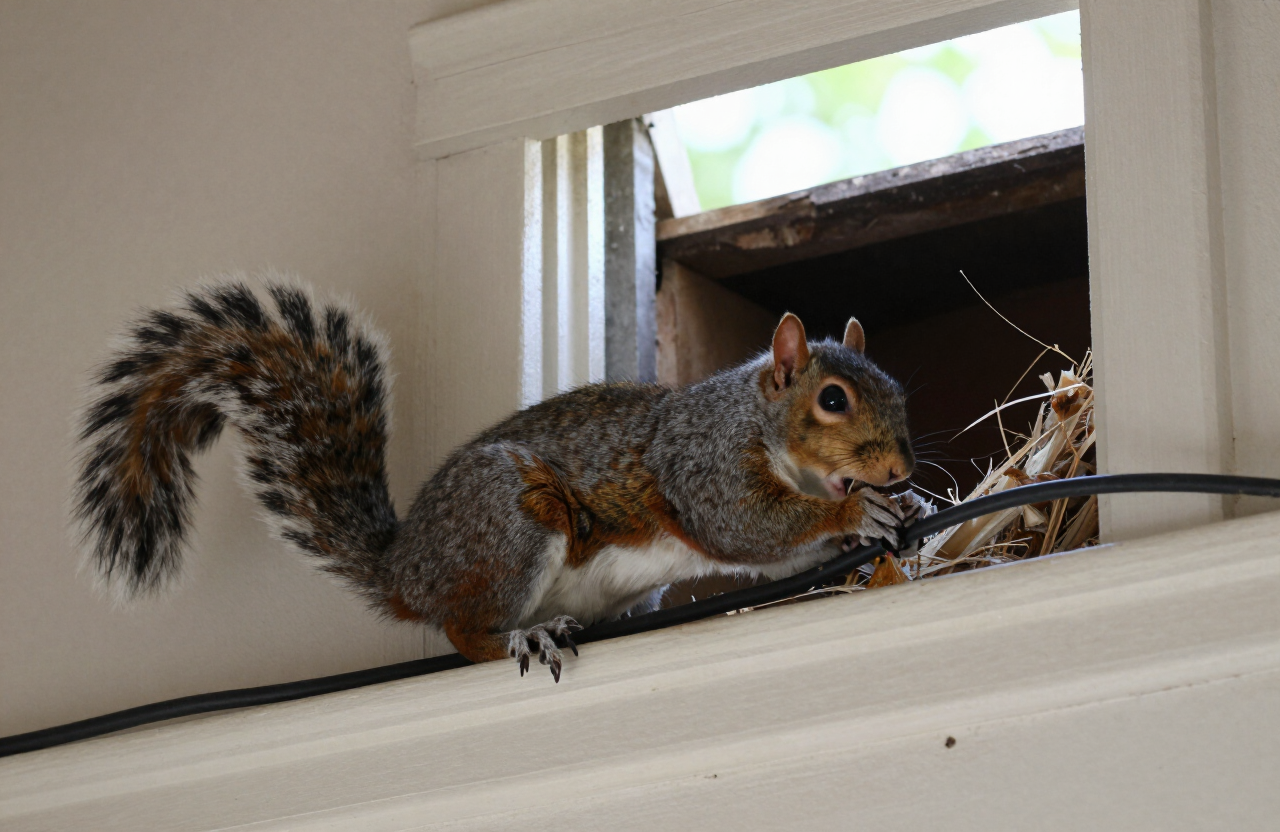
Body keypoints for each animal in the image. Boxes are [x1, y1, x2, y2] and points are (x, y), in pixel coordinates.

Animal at [75, 280, 931, 681]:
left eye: (897, 387)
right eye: (831, 400)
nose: (900, 468)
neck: (770, 433)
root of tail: (404, 569)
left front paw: (897, 509)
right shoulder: (706, 465)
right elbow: (747, 526)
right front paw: (857, 519)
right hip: (511, 522)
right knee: (463, 632)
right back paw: (524, 633)